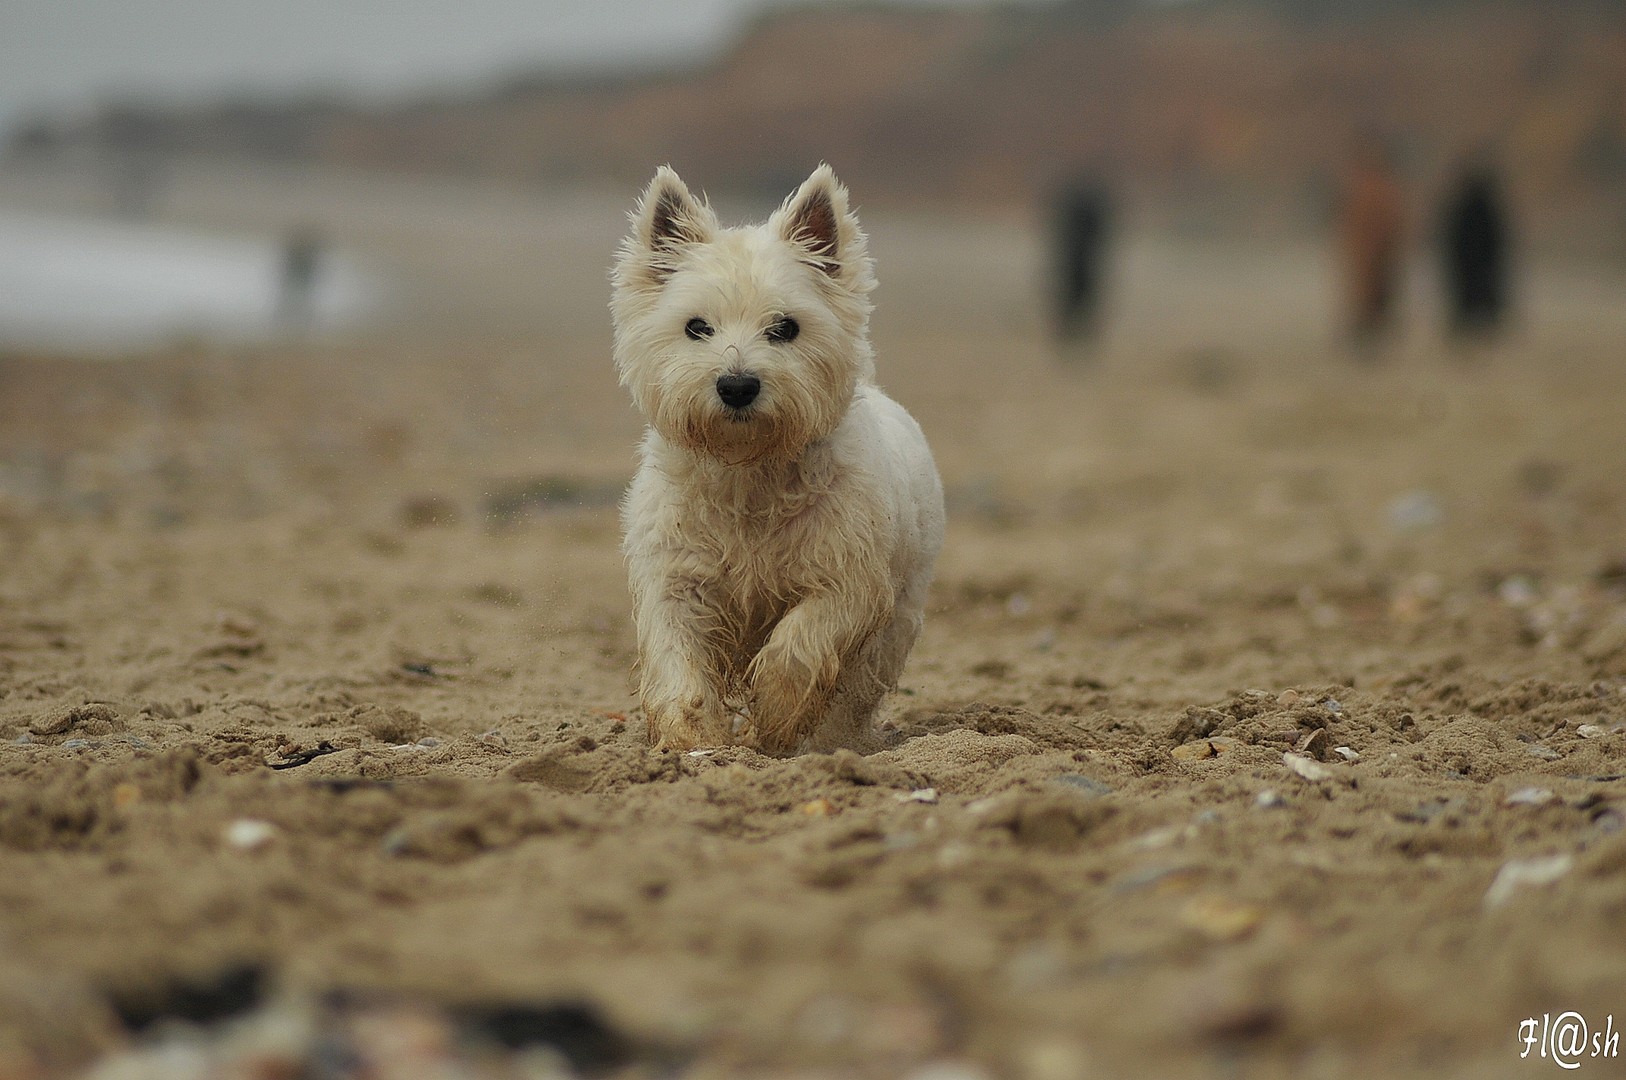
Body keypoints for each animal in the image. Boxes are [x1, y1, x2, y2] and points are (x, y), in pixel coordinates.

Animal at [611, 164, 943, 754]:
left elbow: (800, 643)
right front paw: (690, 739)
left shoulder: (848, 579)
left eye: (785, 327)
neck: (748, 471)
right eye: (696, 326)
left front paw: (777, 718)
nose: (737, 385)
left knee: (855, 691)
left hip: (897, 620)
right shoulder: (675, 576)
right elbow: (677, 658)